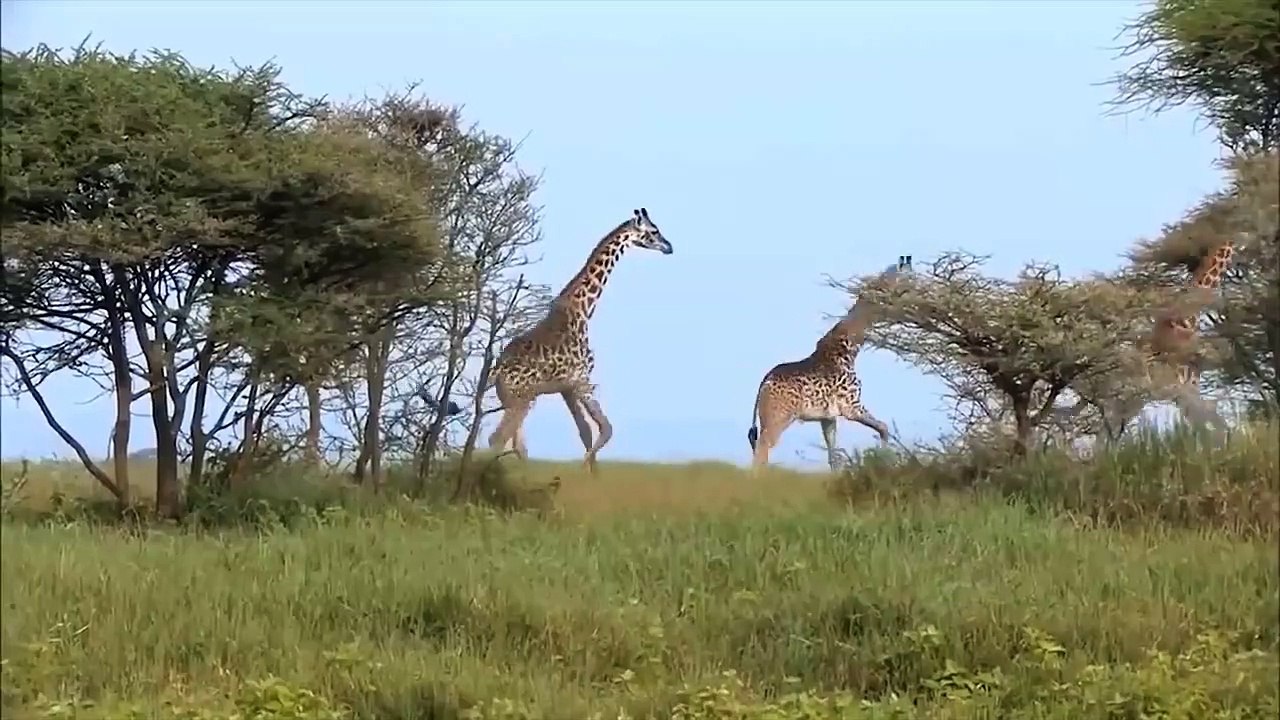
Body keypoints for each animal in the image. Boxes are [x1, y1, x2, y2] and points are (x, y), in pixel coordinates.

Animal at [487, 208, 673, 474]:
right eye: (654, 231)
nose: (669, 246)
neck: (583, 309)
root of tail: (496, 372)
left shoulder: (567, 387)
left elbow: (586, 431)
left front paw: (591, 475)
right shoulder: (582, 380)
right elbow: (605, 428)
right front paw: (585, 470)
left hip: (513, 400)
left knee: (516, 444)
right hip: (523, 399)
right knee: (499, 438)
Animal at [747, 255, 912, 472]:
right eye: (906, 279)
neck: (850, 350)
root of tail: (765, 382)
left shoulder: (828, 417)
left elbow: (833, 457)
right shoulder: (852, 406)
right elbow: (884, 427)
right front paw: (883, 459)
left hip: (767, 418)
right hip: (779, 417)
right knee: (762, 450)